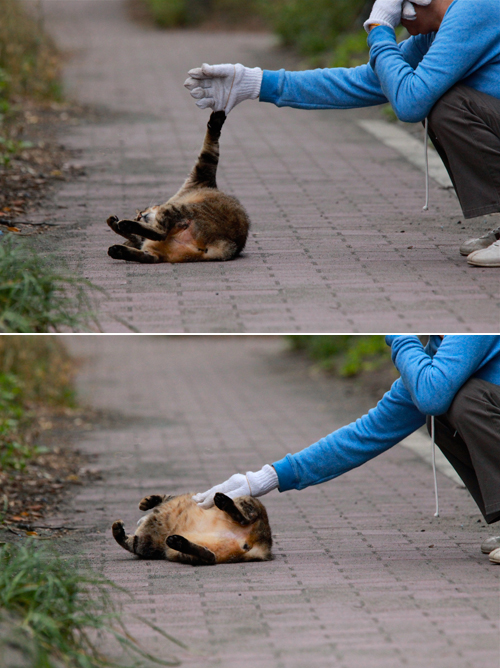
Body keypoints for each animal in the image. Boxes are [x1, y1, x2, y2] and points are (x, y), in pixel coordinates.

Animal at [108, 110, 252, 264]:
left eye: (140, 212)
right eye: (138, 215)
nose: (139, 216)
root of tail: (225, 245)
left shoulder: (201, 173)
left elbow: (210, 141)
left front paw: (216, 120)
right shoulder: (203, 170)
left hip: (175, 211)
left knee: (158, 236)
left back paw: (122, 231)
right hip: (171, 222)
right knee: (156, 241)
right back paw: (119, 245)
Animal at [111, 488, 272, 568]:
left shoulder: (145, 543)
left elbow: (164, 496)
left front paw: (147, 502)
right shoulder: (145, 543)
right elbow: (129, 541)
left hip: (248, 501)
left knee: (245, 516)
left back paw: (224, 501)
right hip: (177, 553)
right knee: (209, 556)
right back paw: (179, 542)